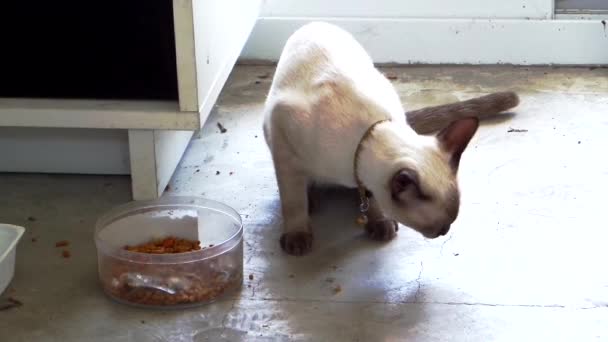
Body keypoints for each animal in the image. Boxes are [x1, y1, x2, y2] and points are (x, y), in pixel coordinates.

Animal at [264, 21, 520, 255]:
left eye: (448, 225)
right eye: (440, 227)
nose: (444, 231)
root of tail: (316, 23)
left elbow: (371, 199)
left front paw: (379, 222)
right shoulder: (284, 146)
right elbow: (293, 201)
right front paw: (298, 235)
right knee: (301, 190)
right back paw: (312, 201)